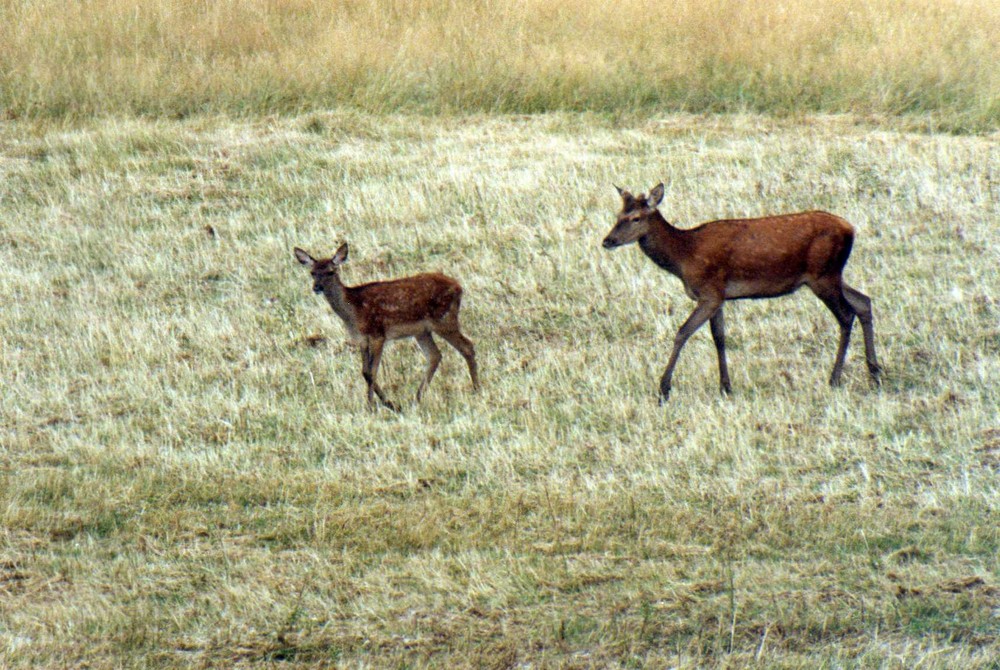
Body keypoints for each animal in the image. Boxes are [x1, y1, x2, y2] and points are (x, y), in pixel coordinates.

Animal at [292, 244, 478, 412]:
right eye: (312, 272)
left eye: (331, 272)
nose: (317, 287)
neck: (353, 311)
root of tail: (459, 287)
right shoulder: (361, 339)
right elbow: (364, 371)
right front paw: (386, 404)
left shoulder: (378, 334)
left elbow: (371, 372)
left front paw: (376, 406)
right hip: (422, 331)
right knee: (435, 356)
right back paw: (417, 398)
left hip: (444, 320)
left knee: (467, 346)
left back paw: (476, 389)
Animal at [596, 182, 880, 404]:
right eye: (618, 215)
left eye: (636, 218)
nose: (607, 241)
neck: (684, 256)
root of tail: (851, 229)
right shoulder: (718, 296)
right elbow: (719, 337)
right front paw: (725, 387)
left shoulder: (709, 292)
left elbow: (682, 333)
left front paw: (663, 390)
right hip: (831, 275)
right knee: (863, 301)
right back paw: (874, 374)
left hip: (823, 275)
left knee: (846, 316)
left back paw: (835, 379)